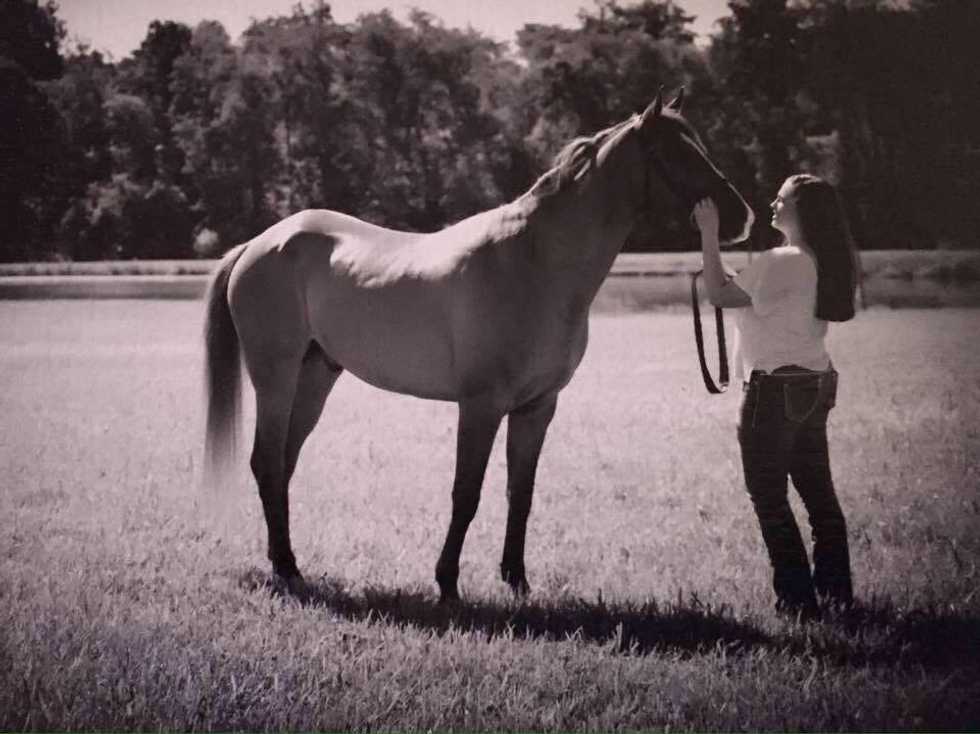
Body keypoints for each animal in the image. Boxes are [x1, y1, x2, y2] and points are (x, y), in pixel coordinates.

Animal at [203, 89, 754, 603]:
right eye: (676, 153)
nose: (741, 215)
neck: (533, 264)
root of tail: (259, 243)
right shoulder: (481, 405)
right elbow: (465, 494)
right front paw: (447, 582)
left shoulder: (537, 408)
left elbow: (520, 494)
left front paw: (517, 580)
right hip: (276, 378)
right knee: (266, 461)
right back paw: (287, 568)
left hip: (316, 376)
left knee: (282, 464)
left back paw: (284, 561)